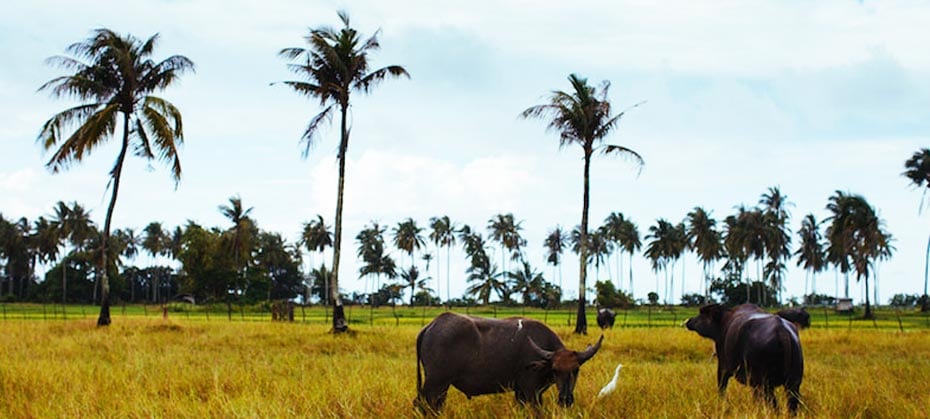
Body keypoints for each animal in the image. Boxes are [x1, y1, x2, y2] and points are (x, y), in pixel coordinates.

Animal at [416, 312, 604, 414]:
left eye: (576, 370)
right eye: (555, 370)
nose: (565, 399)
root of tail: (431, 325)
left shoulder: (521, 392)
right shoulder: (531, 392)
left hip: (442, 387)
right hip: (436, 383)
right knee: (423, 404)